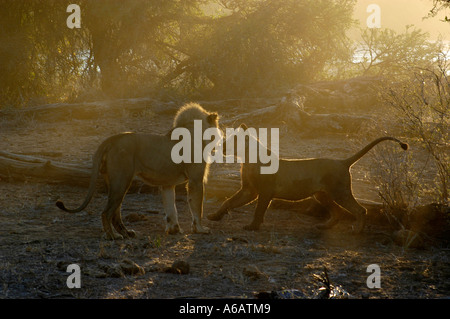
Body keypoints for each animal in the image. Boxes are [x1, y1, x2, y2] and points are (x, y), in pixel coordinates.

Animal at [56, 104, 221, 241]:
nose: (221, 141)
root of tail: (112, 139)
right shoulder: (196, 180)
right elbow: (197, 206)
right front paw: (200, 229)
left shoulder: (167, 183)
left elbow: (171, 208)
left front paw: (174, 229)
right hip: (122, 179)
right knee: (107, 212)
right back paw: (112, 236)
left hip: (114, 181)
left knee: (116, 213)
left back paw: (127, 233)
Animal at [207, 124, 408, 234]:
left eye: (231, 141)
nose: (220, 147)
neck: (246, 159)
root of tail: (342, 162)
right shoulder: (249, 190)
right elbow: (228, 201)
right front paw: (214, 216)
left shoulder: (263, 192)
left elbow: (258, 210)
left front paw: (253, 227)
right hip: (322, 195)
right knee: (337, 212)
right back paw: (324, 227)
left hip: (339, 192)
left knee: (360, 210)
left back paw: (357, 231)